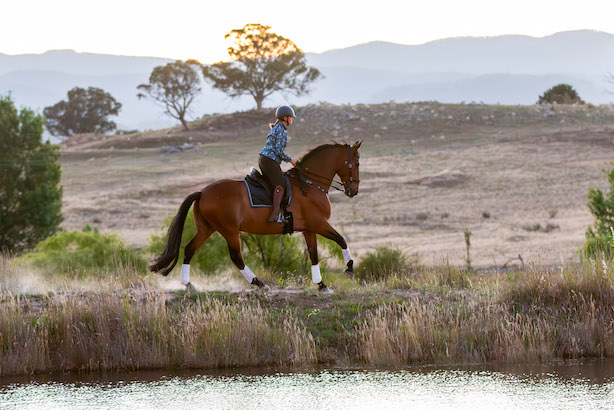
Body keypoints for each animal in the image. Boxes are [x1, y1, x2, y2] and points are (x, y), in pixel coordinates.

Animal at [149, 141, 360, 292]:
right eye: (356, 163)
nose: (354, 191)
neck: (309, 184)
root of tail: (202, 192)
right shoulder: (318, 223)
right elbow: (341, 239)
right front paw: (349, 268)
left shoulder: (309, 228)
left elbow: (314, 255)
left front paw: (321, 285)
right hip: (229, 230)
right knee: (236, 257)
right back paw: (259, 283)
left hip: (206, 228)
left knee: (189, 249)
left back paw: (188, 284)